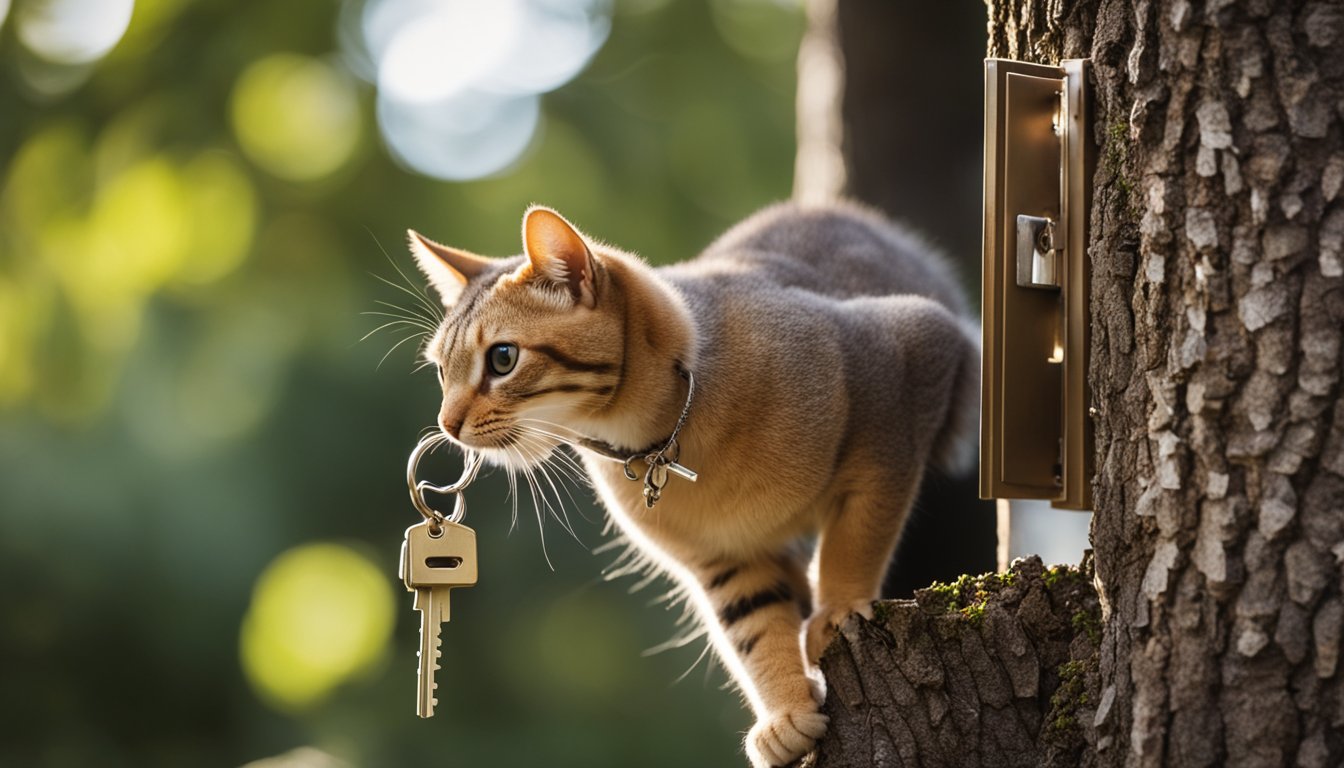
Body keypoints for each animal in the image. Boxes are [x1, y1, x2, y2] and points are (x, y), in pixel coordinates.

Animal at [405, 204, 978, 768]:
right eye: (441, 370)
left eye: (502, 358)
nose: (447, 425)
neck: (664, 436)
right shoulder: (724, 559)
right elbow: (754, 629)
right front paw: (787, 712)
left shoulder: (905, 366)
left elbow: (857, 534)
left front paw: (838, 608)